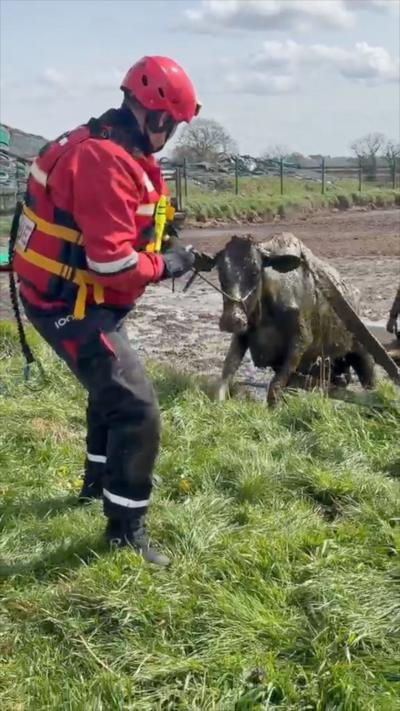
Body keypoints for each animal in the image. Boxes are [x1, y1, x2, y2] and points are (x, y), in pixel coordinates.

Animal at [200, 232, 375, 406]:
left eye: (255, 271)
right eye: (220, 271)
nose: (231, 319)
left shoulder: (301, 341)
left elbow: (275, 386)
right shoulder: (243, 336)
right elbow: (227, 372)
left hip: (360, 350)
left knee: (369, 379)